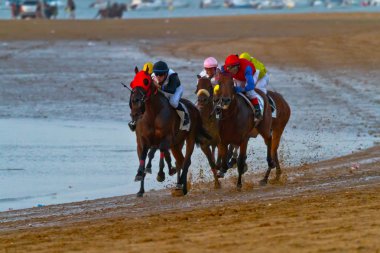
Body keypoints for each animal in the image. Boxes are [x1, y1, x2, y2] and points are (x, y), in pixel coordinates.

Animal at [129, 66, 209, 196]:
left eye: (146, 81)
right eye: (133, 82)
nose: (135, 102)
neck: (153, 114)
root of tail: (194, 107)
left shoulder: (166, 138)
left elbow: (159, 152)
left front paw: (161, 174)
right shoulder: (142, 140)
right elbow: (143, 156)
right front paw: (140, 179)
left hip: (190, 138)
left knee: (186, 161)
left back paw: (181, 185)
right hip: (176, 144)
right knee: (180, 160)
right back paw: (180, 185)